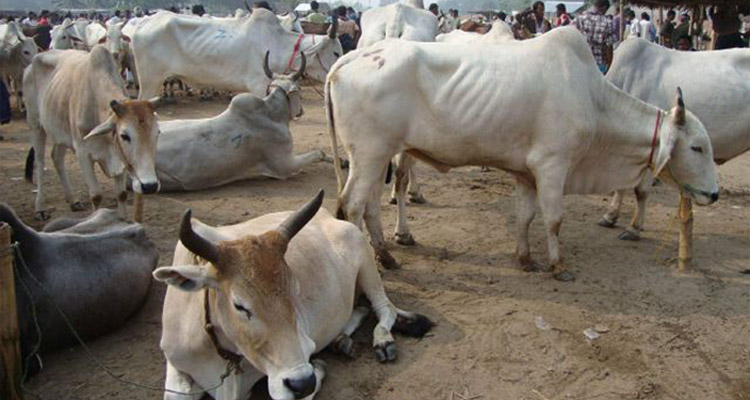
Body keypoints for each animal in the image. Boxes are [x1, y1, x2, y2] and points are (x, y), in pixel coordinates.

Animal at [23, 47, 162, 220]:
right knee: (40, 163)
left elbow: (121, 194)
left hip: (61, 133)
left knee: (57, 157)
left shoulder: (119, 158)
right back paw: (40, 208)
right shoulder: (83, 153)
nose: (150, 186)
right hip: (35, 125)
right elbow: (96, 195)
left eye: (157, 133)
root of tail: (31, 64)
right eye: (124, 136)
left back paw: (73, 201)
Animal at [154, 53, 329, 192]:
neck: (271, 112)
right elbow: (319, 152)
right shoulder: (285, 165)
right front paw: (335, 160)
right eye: (298, 89)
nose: (301, 111)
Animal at [154, 190, 432, 399]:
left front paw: (318, 369)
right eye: (240, 306)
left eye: (295, 294)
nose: (302, 383)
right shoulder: (175, 364)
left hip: (367, 264)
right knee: (363, 308)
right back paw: (340, 341)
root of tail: (329, 216)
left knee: (385, 309)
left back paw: (382, 340)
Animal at [326, 28, 719, 281]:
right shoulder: (553, 167)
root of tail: (352, 57)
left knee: (371, 206)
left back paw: (388, 256)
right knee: (353, 205)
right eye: (697, 147)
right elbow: (554, 220)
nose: (714, 194)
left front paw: (526, 258)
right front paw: (558, 267)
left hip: (377, 156)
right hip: (370, 154)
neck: (593, 100)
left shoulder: (527, 174)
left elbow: (525, 217)